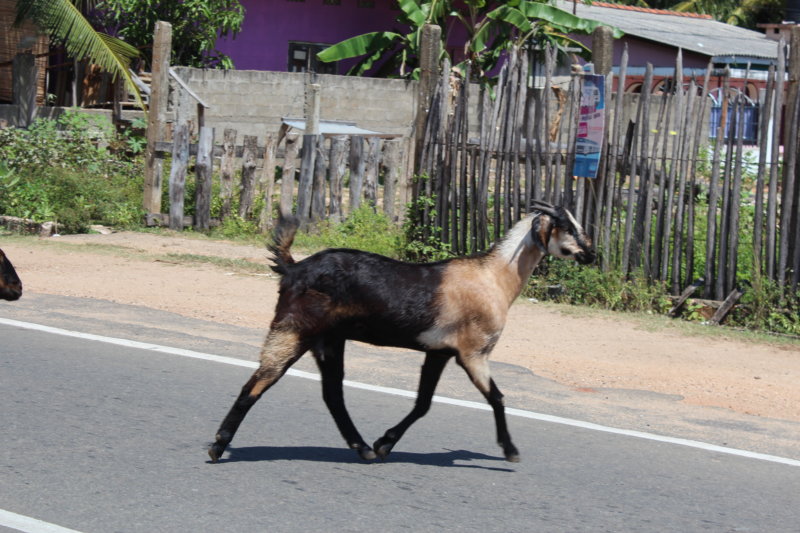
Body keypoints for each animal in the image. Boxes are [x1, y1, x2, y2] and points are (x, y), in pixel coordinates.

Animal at [208, 200, 595, 463]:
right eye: (568, 226)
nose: (591, 255)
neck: (494, 277)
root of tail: (293, 267)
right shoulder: (473, 352)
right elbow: (497, 398)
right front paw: (511, 450)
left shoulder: (439, 351)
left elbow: (423, 403)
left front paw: (385, 443)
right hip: (292, 328)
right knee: (257, 383)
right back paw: (218, 446)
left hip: (328, 340)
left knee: (332, 394)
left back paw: (363, 448)